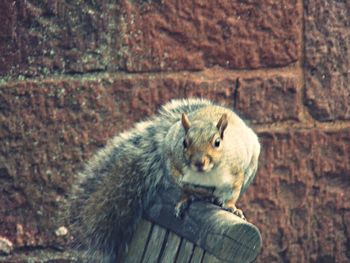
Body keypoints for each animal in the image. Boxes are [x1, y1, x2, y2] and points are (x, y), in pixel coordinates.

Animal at [68, 98, 260, 262]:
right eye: (185, 143)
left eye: (217, 142)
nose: (198, 162)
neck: (206, 174)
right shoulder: (174, 165)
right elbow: (185, 185)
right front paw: (189, 196)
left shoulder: (236, 173)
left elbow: (232, 193)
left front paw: (231, 208)